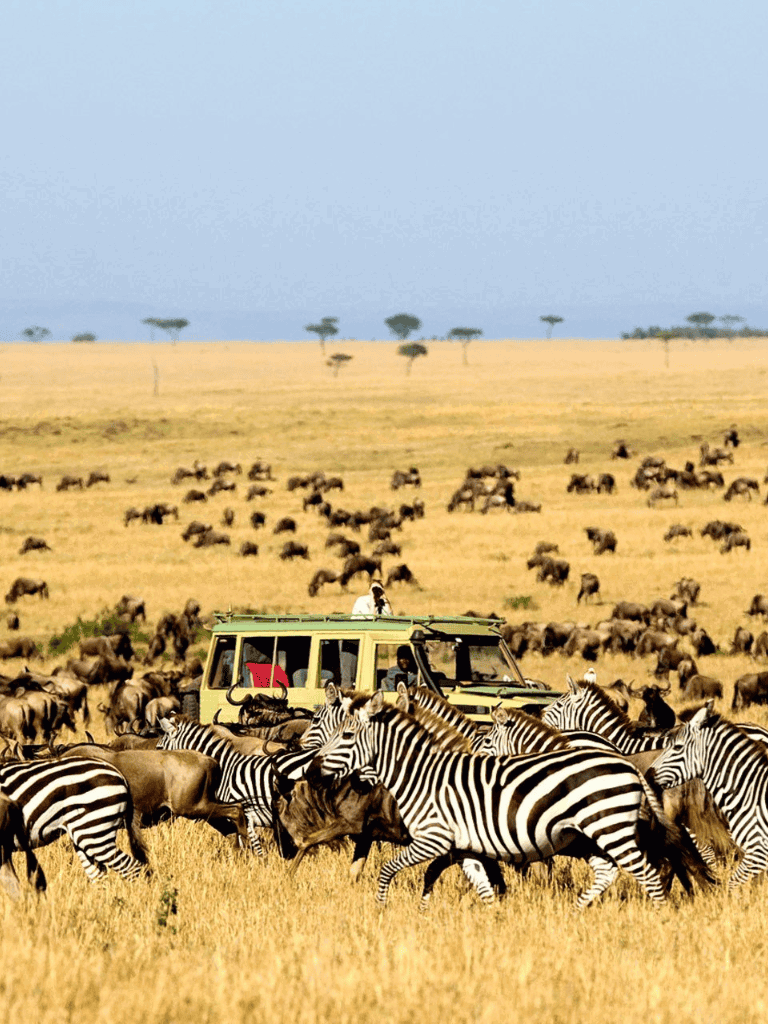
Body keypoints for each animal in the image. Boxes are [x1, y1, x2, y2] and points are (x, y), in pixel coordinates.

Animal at [314, 691, 713, 908]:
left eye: (346, 735)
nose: (315, 770)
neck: (421, 775)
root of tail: (626, 763)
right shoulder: (465, 847)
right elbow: (481, 888)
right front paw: (493, 920)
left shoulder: (434, 839)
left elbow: (388, 869)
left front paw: (381, 910)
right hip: (592, 834)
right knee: (613, 870)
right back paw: (576, 912)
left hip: (609, 827)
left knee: (649, 873)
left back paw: (659, 916)